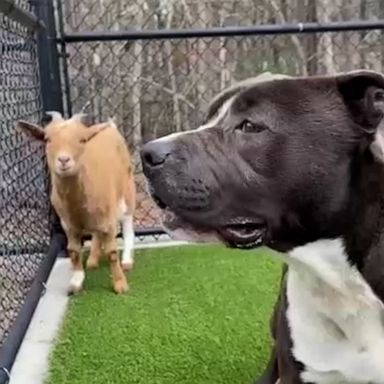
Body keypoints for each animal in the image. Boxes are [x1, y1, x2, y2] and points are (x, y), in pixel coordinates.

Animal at [17, 113, 136, 294]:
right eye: (47, 139)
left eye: (82, 140)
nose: (64, 160)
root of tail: (111, 127)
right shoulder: (68, 224)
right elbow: (73, 252)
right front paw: (76, 282)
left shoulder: (107, 219)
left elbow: (112, 252)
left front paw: (120, 284)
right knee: (96, 234)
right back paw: (93, 260)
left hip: (127, 190)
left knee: (128, 224)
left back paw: (127, 261)